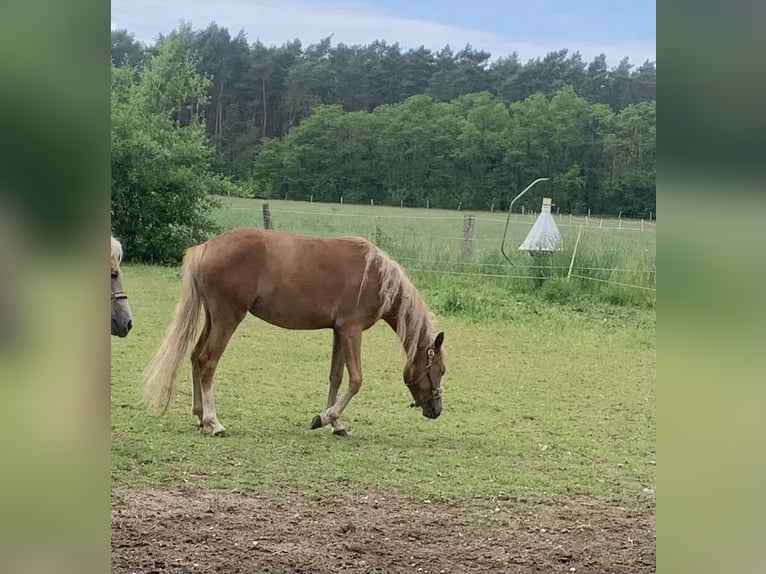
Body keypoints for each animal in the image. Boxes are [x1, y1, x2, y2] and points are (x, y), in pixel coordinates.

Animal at [142, 227, 450, 438]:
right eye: (440, 369)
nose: (436, 411)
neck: (377, 276)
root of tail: (205, 247)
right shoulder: (352, 331)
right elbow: (356, 380)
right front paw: (327, 417)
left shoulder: (339, 331)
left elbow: (336, 377)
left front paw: (334, 422)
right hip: (227, 319)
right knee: (207, 361)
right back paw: (214, 422)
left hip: (212, 319)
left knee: (195, 356)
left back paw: (199, 416)